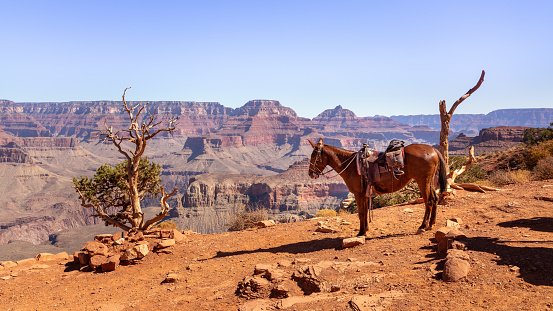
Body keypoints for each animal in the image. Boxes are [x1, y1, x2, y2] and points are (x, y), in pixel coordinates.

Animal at [308, 139, 446, 236]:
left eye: (314, 156)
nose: (310, 174)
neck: (351, 165)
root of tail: (433, 149)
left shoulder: (358, 193)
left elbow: (361, 212)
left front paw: (361, 233)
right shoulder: (364, 193)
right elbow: (364, 212)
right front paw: (365, 230)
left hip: (423, 181)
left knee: (428, 201)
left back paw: (422, 226)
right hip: (429, 180)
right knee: (434, 199)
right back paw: (431, 224)